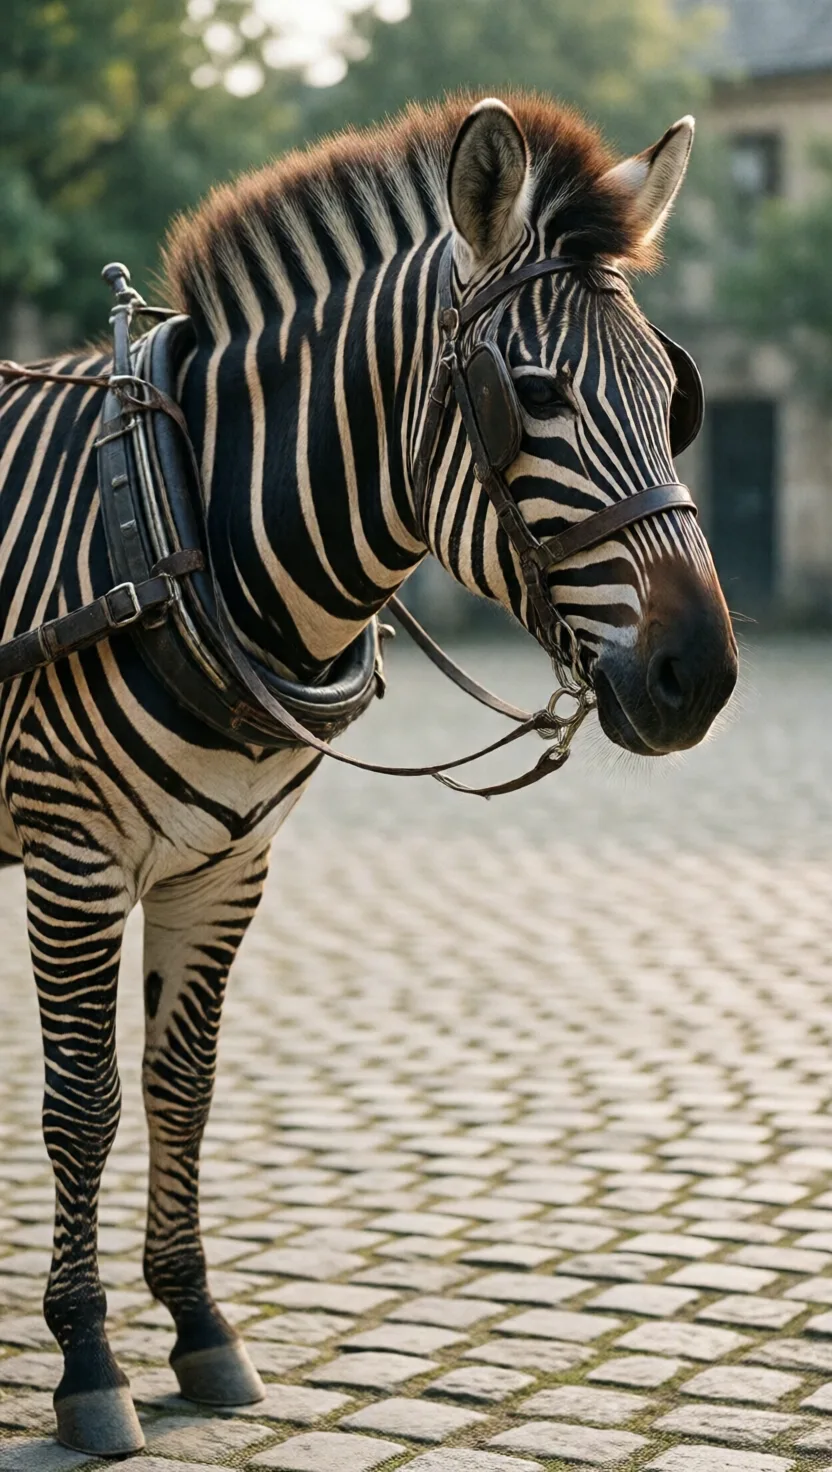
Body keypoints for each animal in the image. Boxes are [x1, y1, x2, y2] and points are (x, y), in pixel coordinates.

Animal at [0, 93, 737, 1455]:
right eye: (530, 396)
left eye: (678, 397)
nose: (698, 677)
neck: (185, 531)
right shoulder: (76, 855)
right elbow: (83, 1100)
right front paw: (84, 1357)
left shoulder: (226, 860)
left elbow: (183, 1084)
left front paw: (198, 1325)